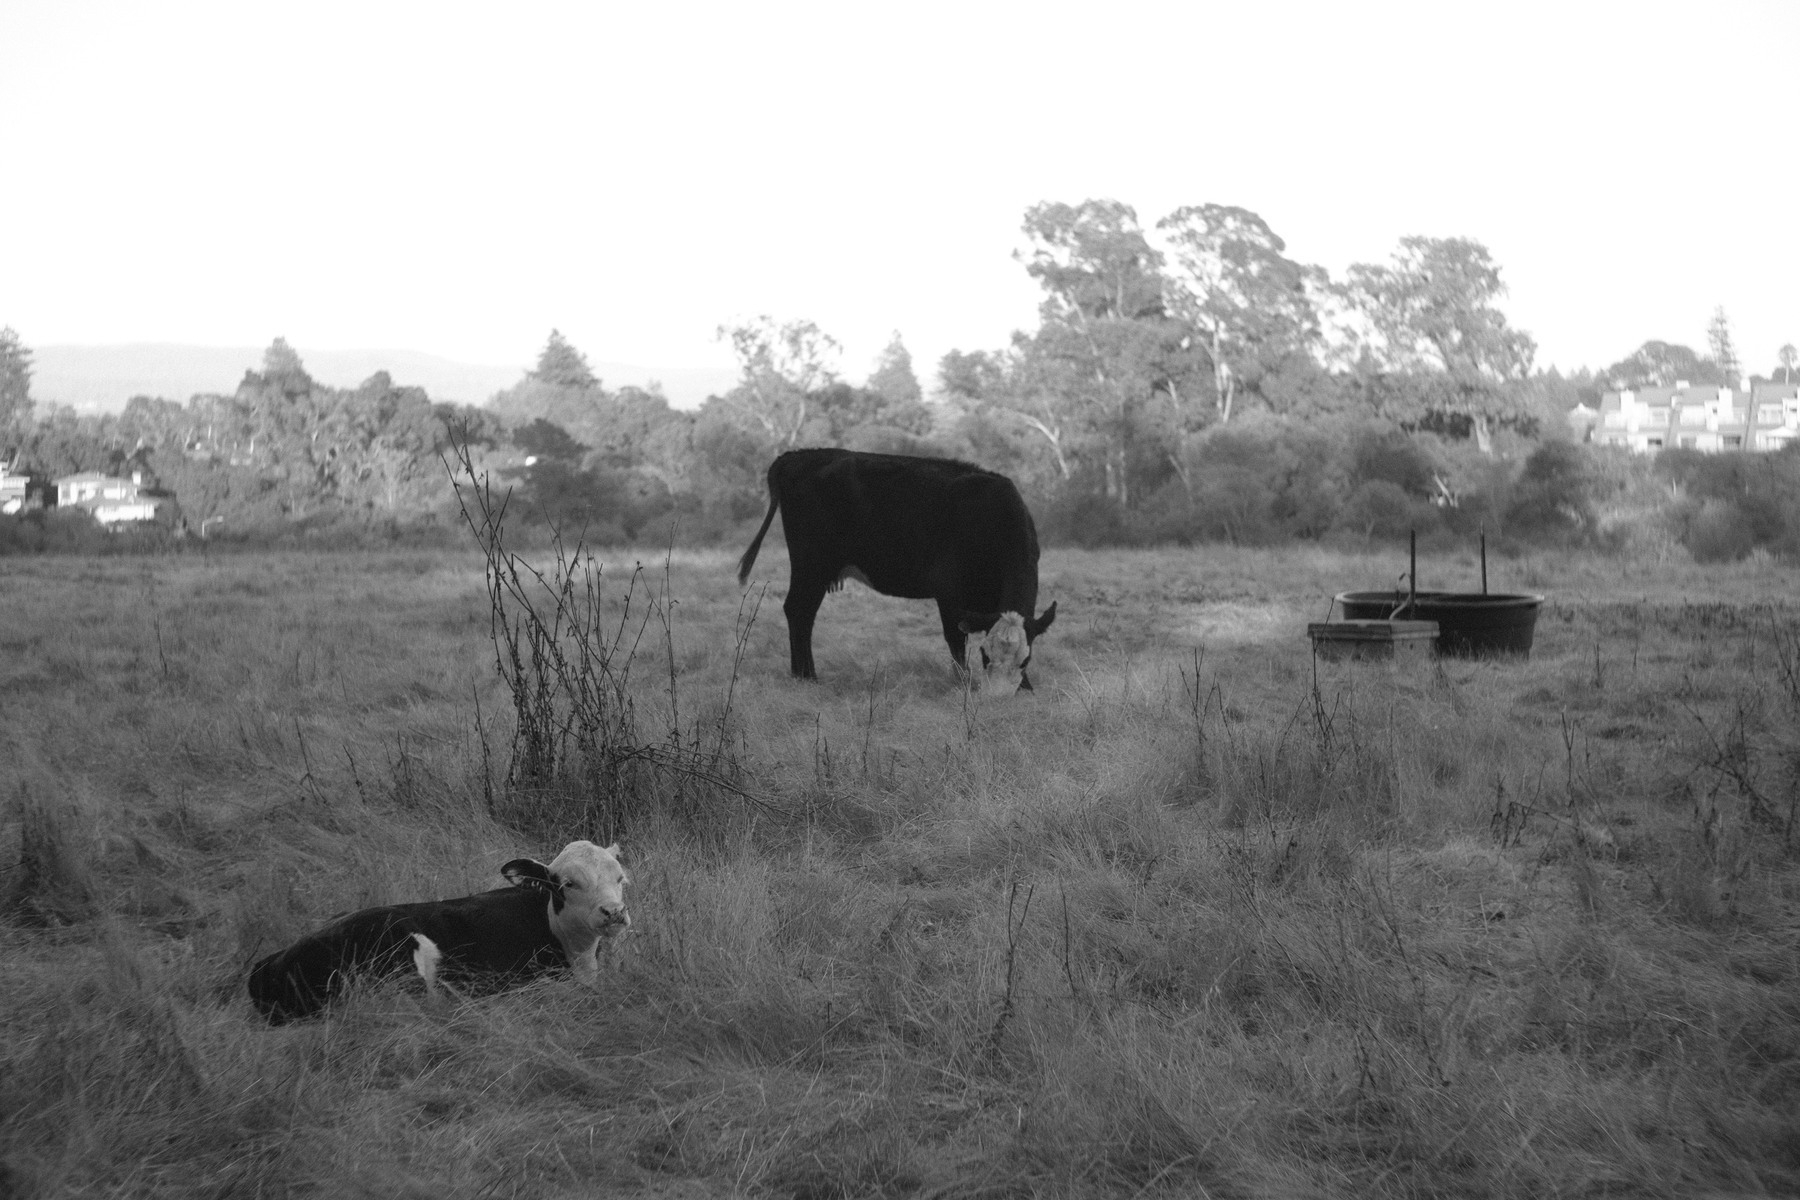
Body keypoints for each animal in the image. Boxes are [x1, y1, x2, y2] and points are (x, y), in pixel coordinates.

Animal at [734, 447, 1051, 694]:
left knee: (802, 613)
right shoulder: (948, 592)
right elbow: (955, 641)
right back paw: (806, 677)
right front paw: (963, 684)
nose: (1000, 693)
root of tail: (798, 455)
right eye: (986, 655)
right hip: (811, 565)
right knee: (798, 611)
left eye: (1026, 660)